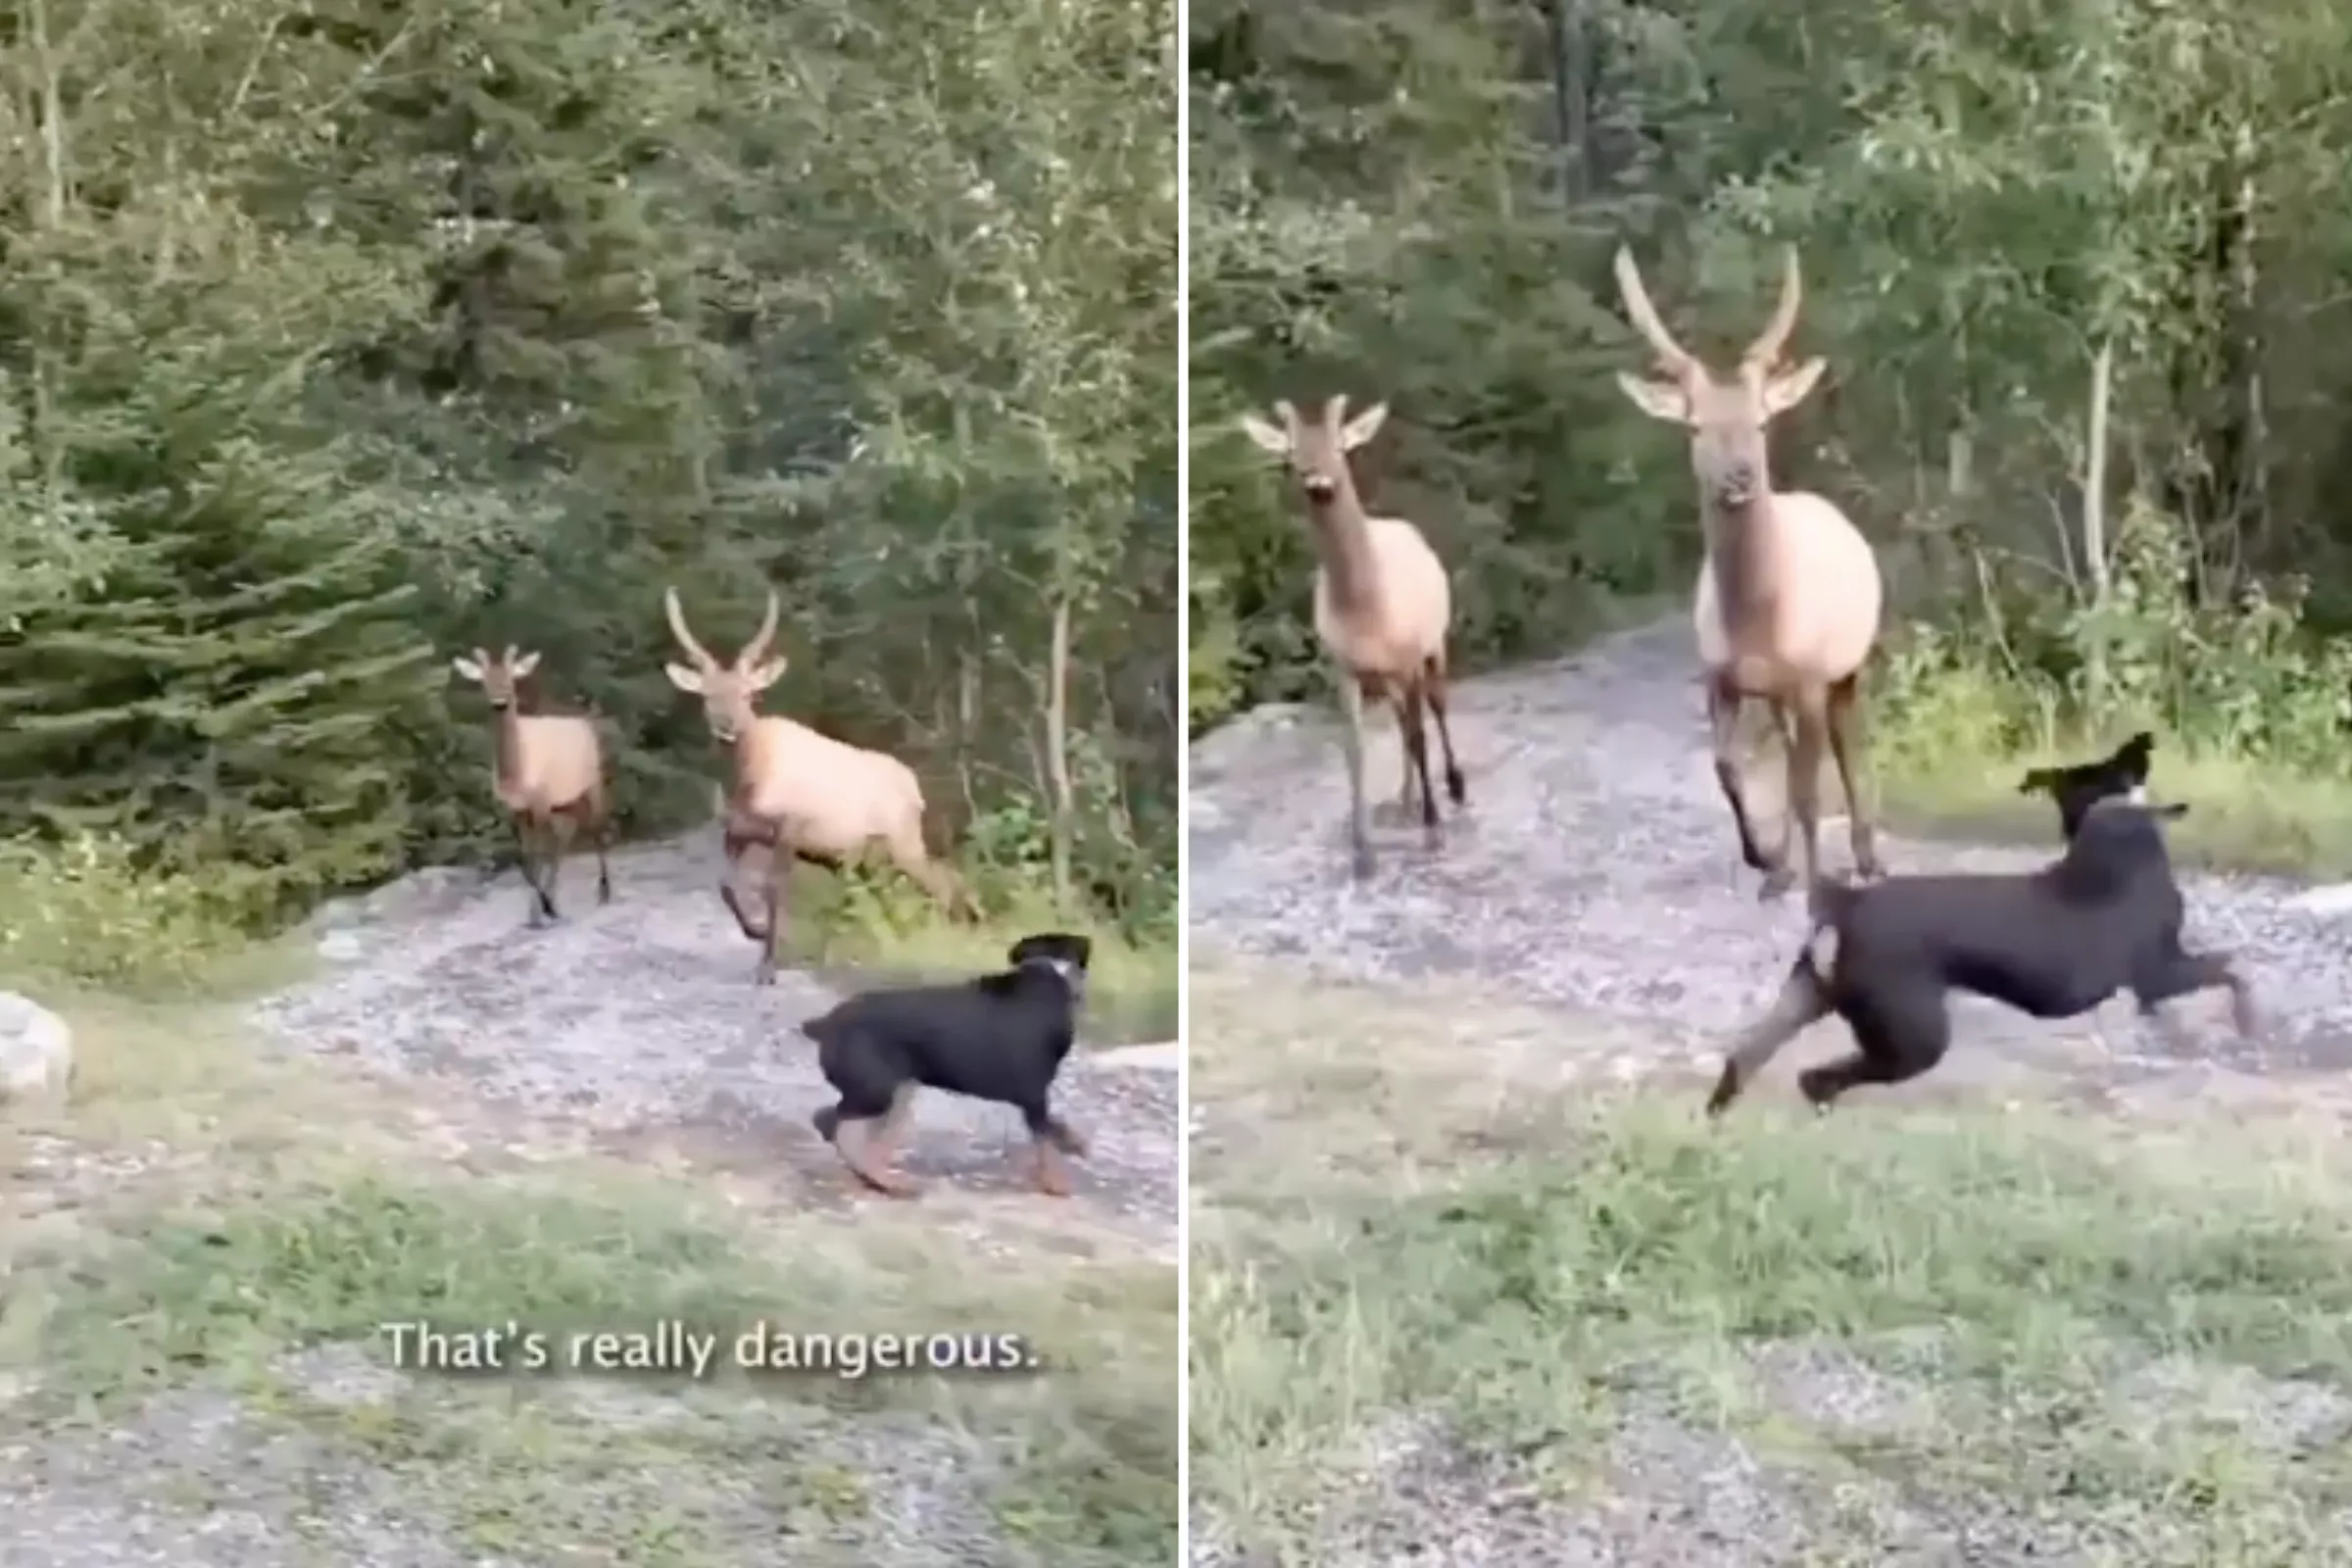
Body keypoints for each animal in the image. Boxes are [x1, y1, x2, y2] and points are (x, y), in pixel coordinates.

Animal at [449, 645, 614, 926]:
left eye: (511, 680)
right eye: (485, 681)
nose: (500, 703)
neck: (518, 776)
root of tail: (583, 723)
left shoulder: (540, 801)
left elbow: (538, 855)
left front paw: (542, 911)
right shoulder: (517, 808)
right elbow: (526, 861)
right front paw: (538, 912)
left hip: (593, 782)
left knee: (596, 828)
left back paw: (604, 893)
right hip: (564, 798)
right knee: (567, 833)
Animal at [661, 587, 978, 984]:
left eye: (749, 694)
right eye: (708, 695)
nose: (728, 727)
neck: (747, 783)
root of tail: (916, 789)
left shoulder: (790, 825)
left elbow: (772, 887)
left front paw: (768, 965)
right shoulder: (735, 830)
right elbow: (725, 886)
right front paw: (757, 932)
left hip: (903, 842)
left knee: (943, 879)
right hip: (865, 858)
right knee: (892, 890)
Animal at [1238, 394, 1467, 880]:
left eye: (1340, 446)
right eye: (1291, 456)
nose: (1318, 483)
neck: (1368, 610)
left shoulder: (1408, 656)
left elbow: (1420, 734)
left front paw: (1434, 831)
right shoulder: (1343, 669)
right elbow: (1355, 750)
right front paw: (1363, 852)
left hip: (1434, 644)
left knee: (1435, 708)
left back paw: (1455, 788)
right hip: (1389, 676)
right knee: (1403, 723)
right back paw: (1405, 800)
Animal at [1610, 245, 1886, 901]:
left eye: (1760, 422)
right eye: (1694, 426)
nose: (1739, 477)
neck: (1759, 620)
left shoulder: (1811, 676)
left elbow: (1810, 790)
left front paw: (1817, 882)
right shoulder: (1720, 677)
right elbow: (1727, 768)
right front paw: (1762, 858)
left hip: (1848, 666)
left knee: (1847, 744)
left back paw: (1865, 859)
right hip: (1784, 694)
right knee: (1789, 754)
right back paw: (1783, 866)